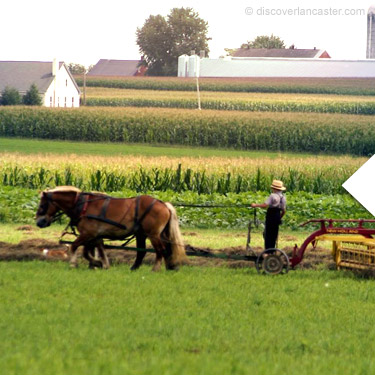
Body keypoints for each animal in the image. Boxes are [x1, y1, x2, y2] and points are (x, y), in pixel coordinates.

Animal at [36, 187, 186, 272]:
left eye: (42, 205)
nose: (39, 222)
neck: (83, 205)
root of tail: (163, 204)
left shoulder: (87, 234)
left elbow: (75, 246)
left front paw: (74, 264)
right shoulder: (95, 236)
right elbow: (95, 251)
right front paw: (101, 264)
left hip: (153, 234)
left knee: (160, 250)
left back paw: (155, 269)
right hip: (144, 234)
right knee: (149, 251)